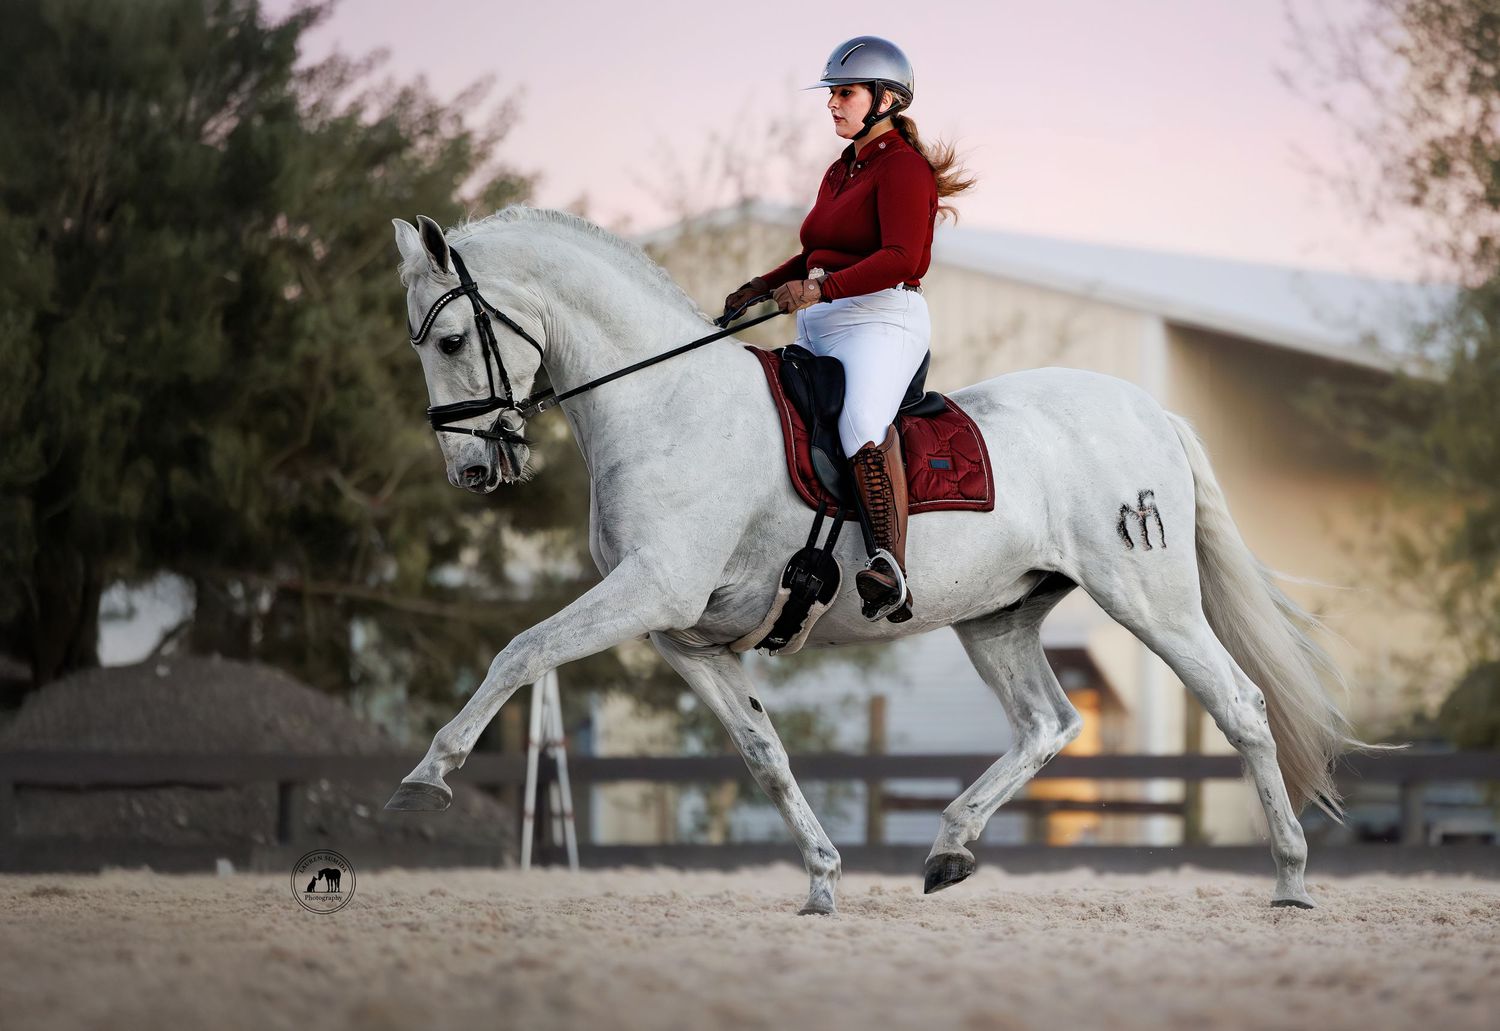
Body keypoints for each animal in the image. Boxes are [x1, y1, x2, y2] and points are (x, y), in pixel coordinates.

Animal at [385, 205, 1371, 915]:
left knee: (1240, 707)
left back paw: (1290, 879)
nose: (472, 470)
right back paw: (949, 848)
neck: (667, 402)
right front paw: (823, 879)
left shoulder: (645, 592)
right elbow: (763, 752)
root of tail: (1148, 411)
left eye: (450, 340)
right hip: (996, 618)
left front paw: (424, 779)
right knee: (1047, 723)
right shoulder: (684, 636)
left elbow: (520, 650)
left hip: (1149, 599)